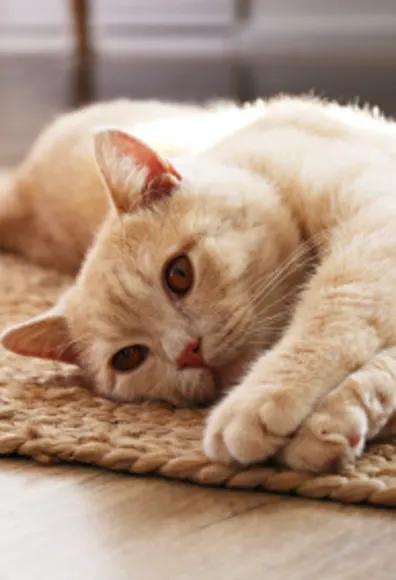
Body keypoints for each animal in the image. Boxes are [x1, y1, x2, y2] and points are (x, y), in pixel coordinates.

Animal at [0, 95, 396, 476]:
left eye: (179, 274)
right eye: (128, 357)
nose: (188, 351)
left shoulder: (375, 222)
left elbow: (333, 307)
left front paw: (257, 403)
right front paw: (333, 426)